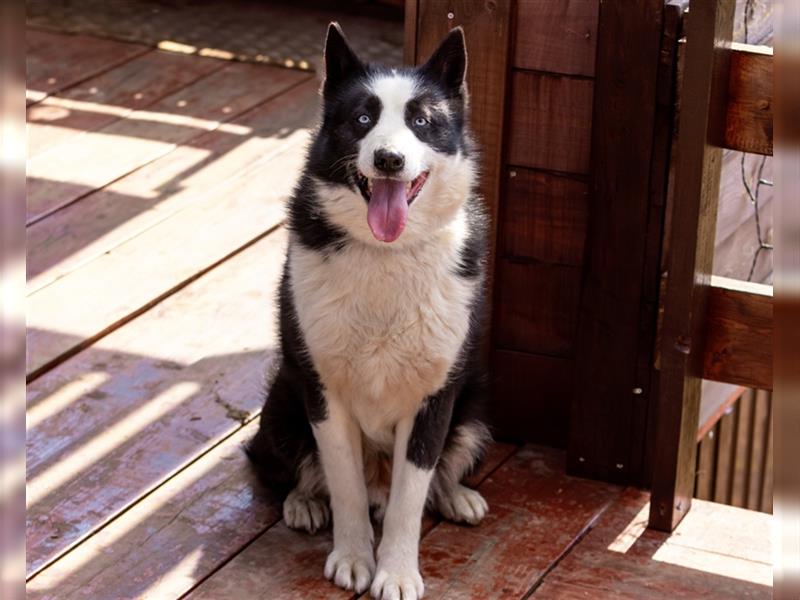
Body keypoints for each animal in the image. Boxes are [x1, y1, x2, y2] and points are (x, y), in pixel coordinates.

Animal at [247, 23, 490, 600]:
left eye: (421, 121)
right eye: (362, 119)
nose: (388, 161)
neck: (386, 255)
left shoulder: (434, 399)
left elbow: (408, 500)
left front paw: (396, 572)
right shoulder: (323, 393)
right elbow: (346, 488)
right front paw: (354, 558)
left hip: (472, 411)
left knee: (438, 471)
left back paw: (455, 495)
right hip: (282, 403)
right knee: (283, 470)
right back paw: (303, 502)